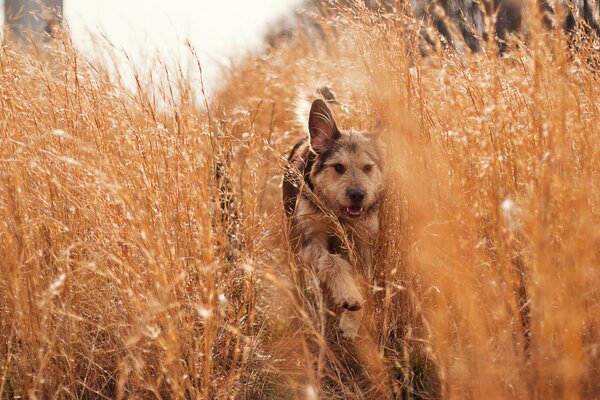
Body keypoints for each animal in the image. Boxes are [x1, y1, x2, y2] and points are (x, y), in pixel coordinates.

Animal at [282, 96, 384, 338]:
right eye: (338, 167)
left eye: (368, 167)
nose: (358, 195)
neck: (339, 216)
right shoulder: (311, 239)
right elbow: (332, 262)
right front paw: (349, 296)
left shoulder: (362, 243)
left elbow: (363, 279)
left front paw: (350, 322)